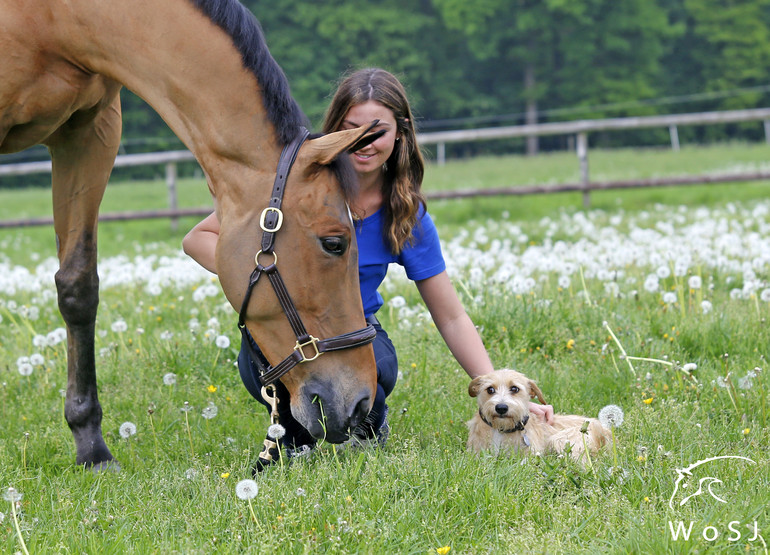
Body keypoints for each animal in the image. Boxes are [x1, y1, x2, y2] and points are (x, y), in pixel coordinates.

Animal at [0, 0, 378, 470]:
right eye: (334, 243)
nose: (361, 402)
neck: (54, 22)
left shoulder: (89, 132)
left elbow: (78, 288)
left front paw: (92, 448)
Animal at [464, 372, 608, 466]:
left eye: (514, 388)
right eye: (490, 389)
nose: (501, 407)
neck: (501, 429)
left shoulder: (532, 455)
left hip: (561, 440)